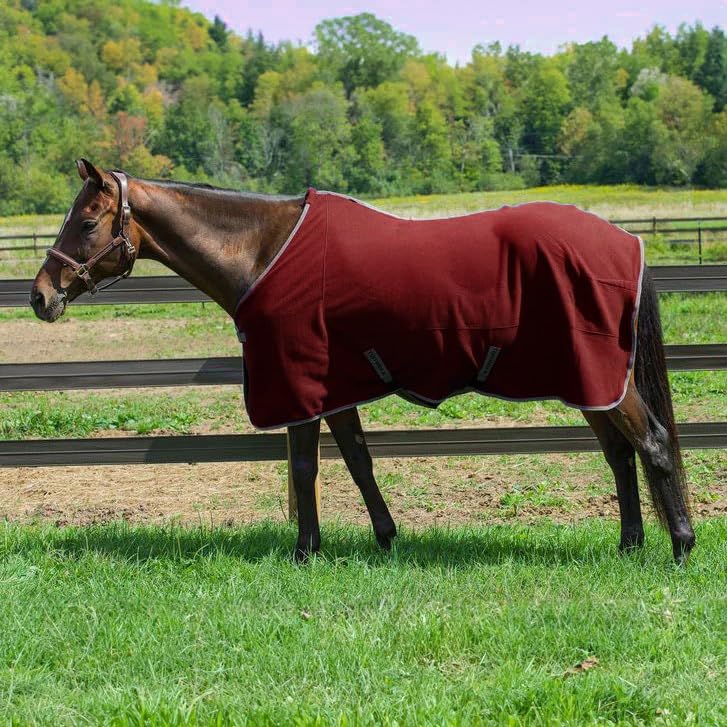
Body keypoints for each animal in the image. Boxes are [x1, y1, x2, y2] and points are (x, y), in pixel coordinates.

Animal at [30, 160, 695, 563]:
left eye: (85, 222)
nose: (40, 296)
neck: (263, 251)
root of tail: (625, 241)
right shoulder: (333, 386)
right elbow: (357, 461)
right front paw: (384, 537)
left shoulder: (297, 382)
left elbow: (305, 469)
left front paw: (305, 551)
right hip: (591, 383)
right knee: (619, 455)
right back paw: (630, 545)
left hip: (602, 378)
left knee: (652, 443)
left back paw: (681, 545)